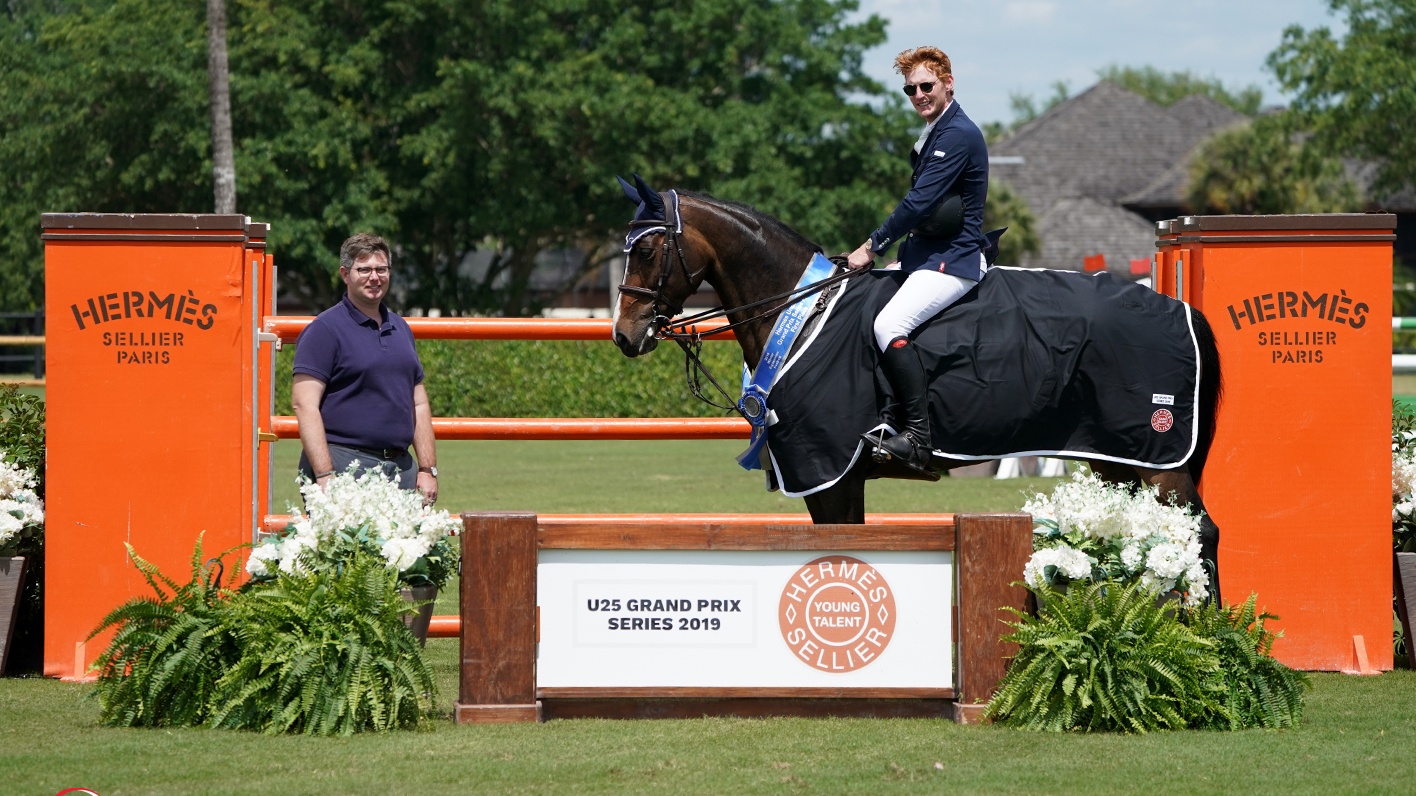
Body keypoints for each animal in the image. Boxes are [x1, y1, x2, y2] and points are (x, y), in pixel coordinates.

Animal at [614, 176, 1223, 597]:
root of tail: (1183, 312)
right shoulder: (841, 478)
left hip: (1158, 461)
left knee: (1200, 533)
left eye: (645, 250)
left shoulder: (829, 470)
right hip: (1114, 458)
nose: (624, 335)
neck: (803, 312)